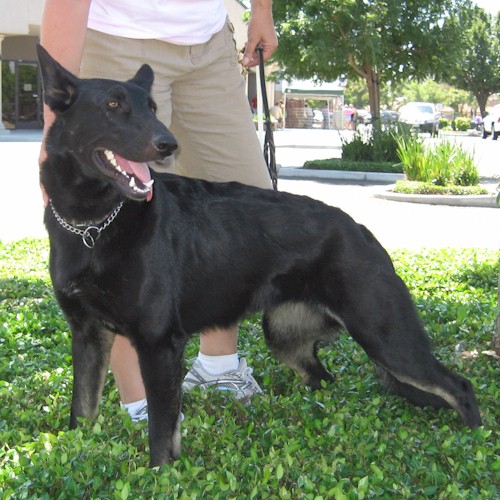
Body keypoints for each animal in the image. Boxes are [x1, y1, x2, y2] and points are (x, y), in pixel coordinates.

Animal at [37, 45, 482, 466]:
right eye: (113, 105)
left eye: (152, 108)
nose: (168, 144)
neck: (95, 225)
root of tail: (361, 231)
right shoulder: (88, 335)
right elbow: (83, 410)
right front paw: (74, 455)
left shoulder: (158, 344)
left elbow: (161, 434)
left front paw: (159, 477)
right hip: (284, 336)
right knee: (324, 378)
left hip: (387, 339)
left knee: (460, 387)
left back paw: (473, 440)